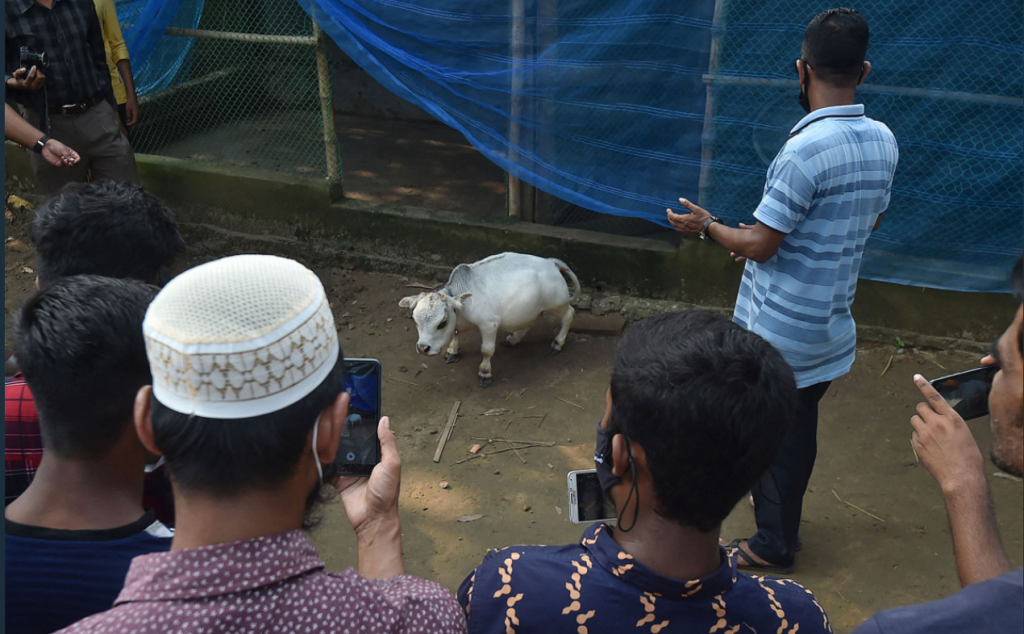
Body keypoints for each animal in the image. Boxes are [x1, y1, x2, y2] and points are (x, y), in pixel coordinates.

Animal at [397, 252, 577, 387]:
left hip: (558, 303)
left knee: (569, 314)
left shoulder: (489, 324)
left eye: (442, 323)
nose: (423, 348)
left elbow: (486, 350)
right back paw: (513, 339)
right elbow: (454, 335)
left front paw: (485, 372)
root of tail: (550, 262)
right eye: (415, 320)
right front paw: (452, 351)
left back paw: (557, 343)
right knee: (530, 322)